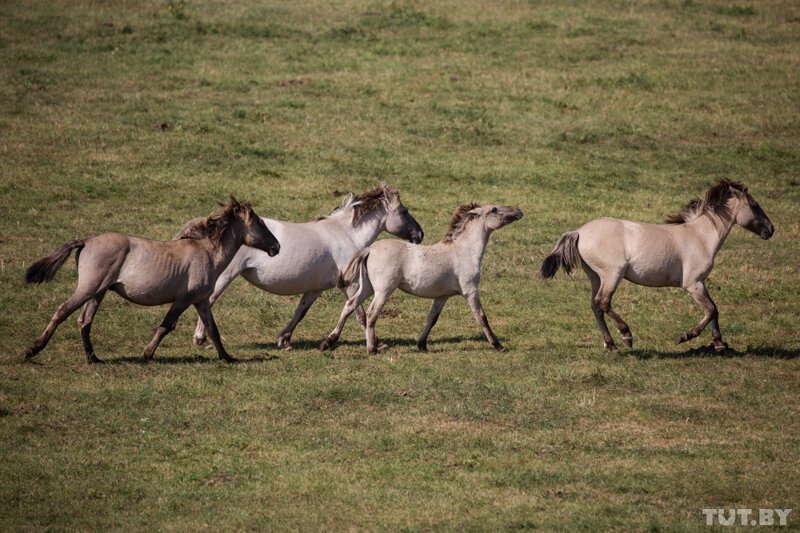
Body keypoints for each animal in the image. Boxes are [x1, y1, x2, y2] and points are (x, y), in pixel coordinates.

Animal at [23, 197, 280, 364]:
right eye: (260, 223)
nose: (276, 247)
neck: (206, 252)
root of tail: (86, 242)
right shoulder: (184, 299)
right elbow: (167, 325)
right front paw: (147, 354)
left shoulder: (201, 300)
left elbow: (213, 329)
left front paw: (227, 358)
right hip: (88, 288)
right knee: (62, 311)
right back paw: (32, 351)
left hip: (98, 292)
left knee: (84, 322)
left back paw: (94, 358)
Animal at [175, 182, 424, 350]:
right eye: (404, 211)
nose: (420, 235)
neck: (346, 234)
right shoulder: (351, 285)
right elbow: (359, 313)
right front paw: (375, 343)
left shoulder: (315, 289)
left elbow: (300, 312)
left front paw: (284, 340)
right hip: (225, 277)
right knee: (208, 300)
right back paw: (201, 339)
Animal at [318, 204, 524, 354]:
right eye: (494, 209)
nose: (519, 211)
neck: (463, 251)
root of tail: (369, 249)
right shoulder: (470, 290)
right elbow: (481, 317)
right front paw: (498, 345)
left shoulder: (442, 296)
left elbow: (432, 318)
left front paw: (422, 345)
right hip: (383, 290)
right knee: (371, 313)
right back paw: (372, 348)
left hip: (367, 287)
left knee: (350, 305)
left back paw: (327, 342)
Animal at [540, 181, 772, 352]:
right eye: (754, 206)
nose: (771, 229)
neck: (700, 236)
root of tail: (579, 231)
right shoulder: (693, 283)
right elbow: (711, 309)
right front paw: (686, 336)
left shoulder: (700, 283)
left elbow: (714, 310)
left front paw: (719, 343)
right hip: (612, 274)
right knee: (603, 302)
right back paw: (626, 336)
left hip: (596, 277)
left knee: (596, 306)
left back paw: (611, 344)